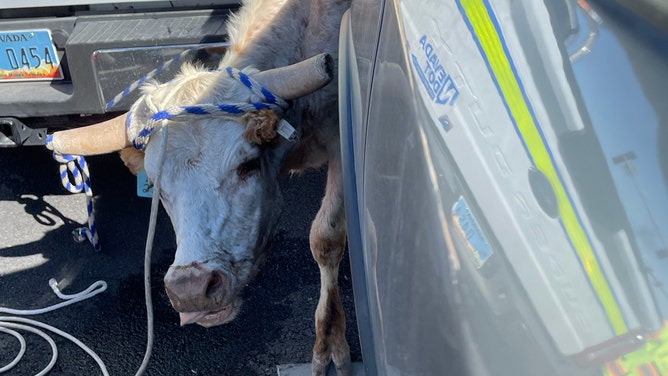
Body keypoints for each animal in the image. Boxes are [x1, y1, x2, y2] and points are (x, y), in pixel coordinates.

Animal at [47, 1, 354, 374]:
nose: (190, 290)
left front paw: (330, 345)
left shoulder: (340, 143)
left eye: (248, 164)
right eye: (157, 186)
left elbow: (325, 238)